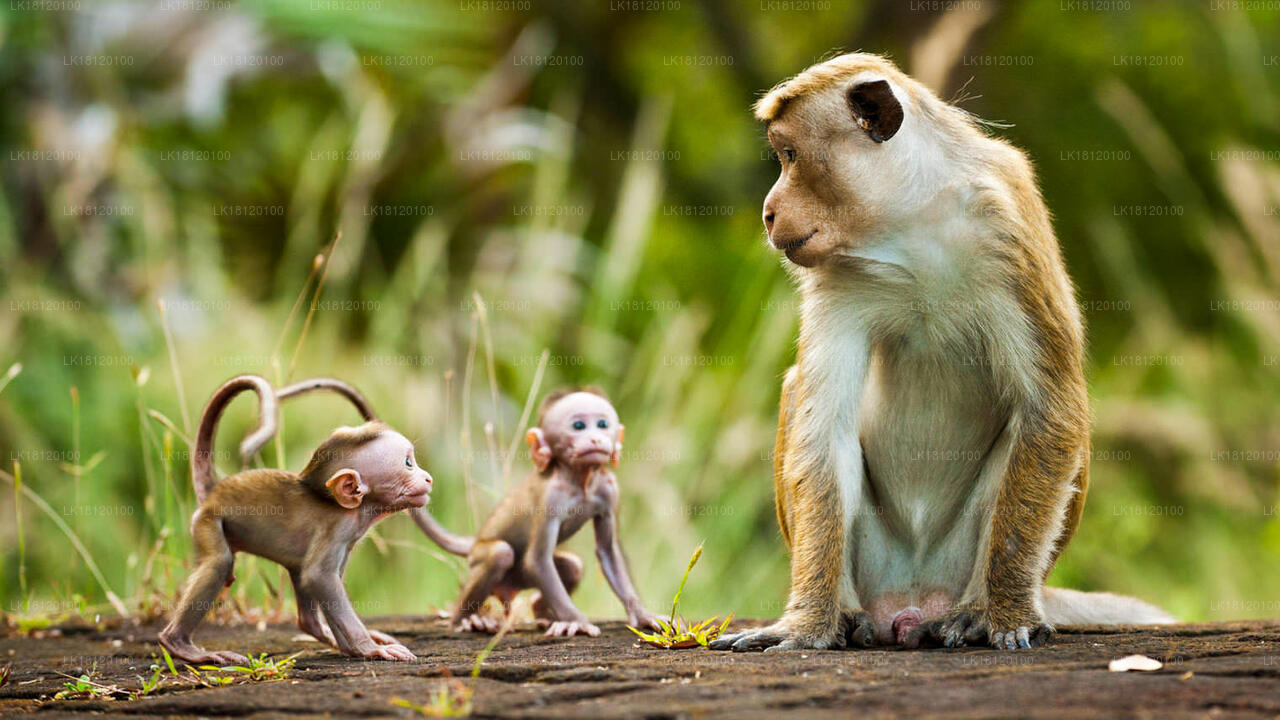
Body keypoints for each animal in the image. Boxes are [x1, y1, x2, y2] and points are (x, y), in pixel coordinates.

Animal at [158, 374, 433, 664]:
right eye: (408, 463)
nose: (428, 478)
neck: (354, 509)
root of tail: (215, 491)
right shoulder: (337, 529)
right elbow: (319, 577)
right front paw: (369, 648)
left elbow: (319, 580)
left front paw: (350, 646)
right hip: (208, 521)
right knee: (219, 563)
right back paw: (181, 645)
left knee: (298, 577)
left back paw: (318, 630)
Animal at [412, 388, 662, 637]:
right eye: (578, 426)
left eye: (602, 424)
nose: (595, 438)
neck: (579, 480)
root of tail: (475, 541)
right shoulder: (550, 497)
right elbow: (537, 559)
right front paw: (577, 621)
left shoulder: (610, 490)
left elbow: (608, 552)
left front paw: (642, 614)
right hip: (480, 559)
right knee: (499, 554)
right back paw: (465, 619)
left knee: (573, 566)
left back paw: (543, 613)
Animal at [710, 53, 1173, 653]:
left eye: (789, 155)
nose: (768, 212)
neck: (911, 225)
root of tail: (910, 604)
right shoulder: (837, 276)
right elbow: (824, 429)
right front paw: (807, 624)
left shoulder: (1007, 226)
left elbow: (1051, 409)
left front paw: (1006, 613)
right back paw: (849, 613)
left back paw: (976, 608)